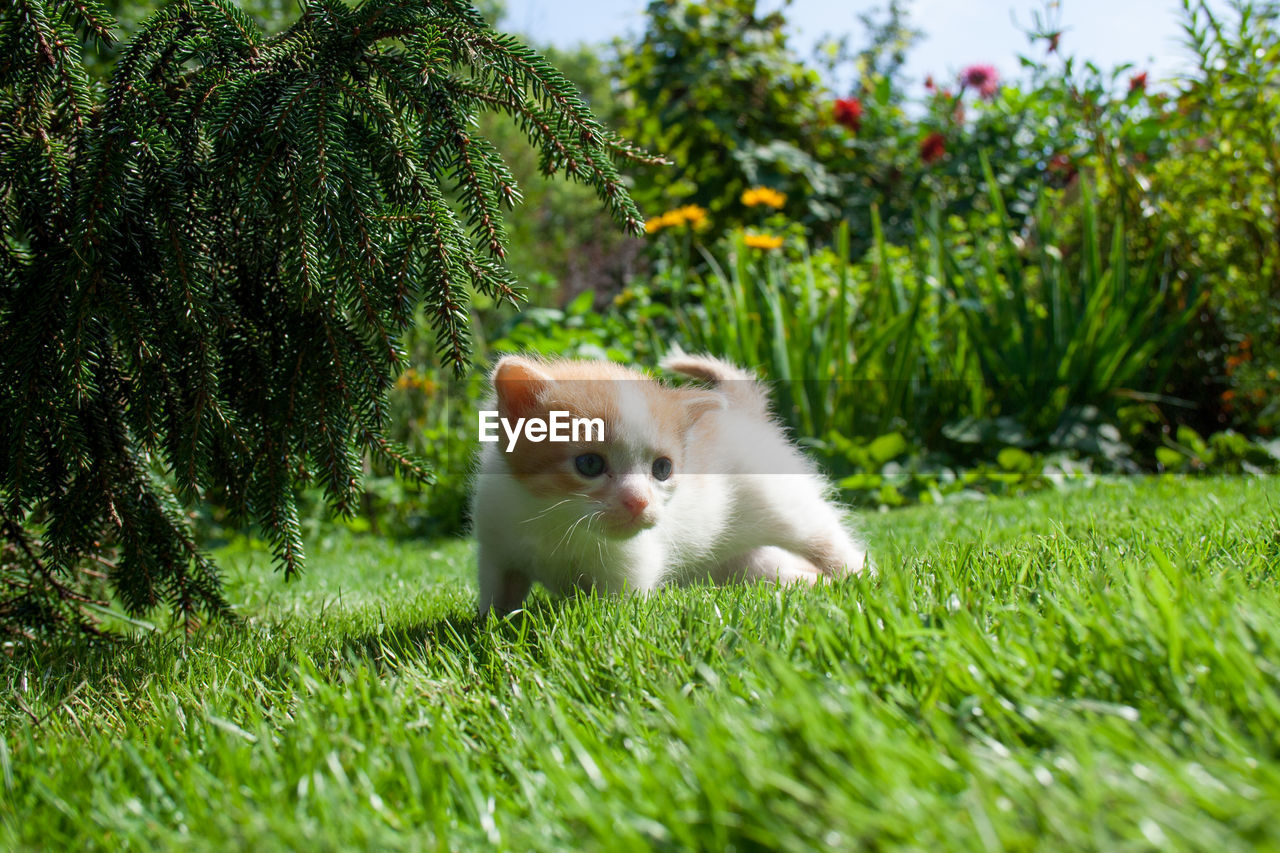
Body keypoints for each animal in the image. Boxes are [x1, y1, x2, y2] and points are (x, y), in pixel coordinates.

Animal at [471, 350, 870, 612]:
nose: (639, 502)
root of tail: (743, 415)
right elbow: (496, 601)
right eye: (589, 463)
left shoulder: (631, 565)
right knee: (784, 572)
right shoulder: (496, 546)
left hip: (787, 507)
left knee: (825, 538)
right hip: (746, 561)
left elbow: (616, 611)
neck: (552, 518)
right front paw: (487, 628)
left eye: (662, 468)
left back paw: (861, 577)